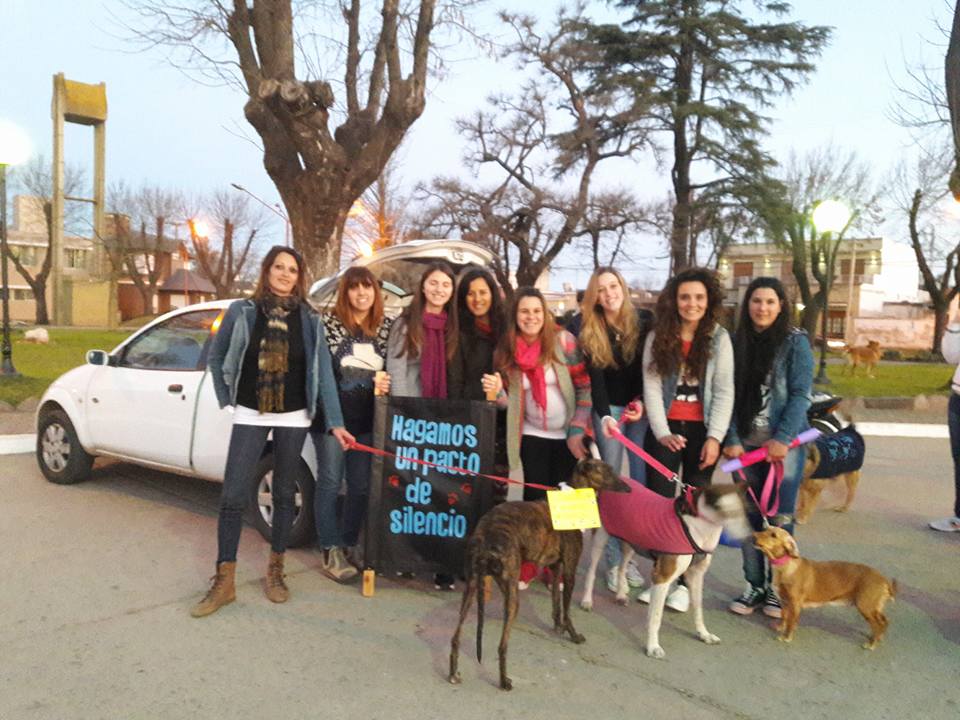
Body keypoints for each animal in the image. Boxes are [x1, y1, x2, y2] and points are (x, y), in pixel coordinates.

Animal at [447, 458, 629, 691]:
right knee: (501, 646)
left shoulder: (556, 567)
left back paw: (453, 673)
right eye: (608, 471)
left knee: (455, 637)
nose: (629, 488)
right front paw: (573, 635)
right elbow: (567, 610)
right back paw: (504, 681)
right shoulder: (569, 570)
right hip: (511, 598)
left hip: (471, 588)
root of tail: (486, 540)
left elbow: (556, 604)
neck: (573, 495)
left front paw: (558, 627)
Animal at [579, 479, 751, 659]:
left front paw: (704, 634)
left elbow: (698, 609)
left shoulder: (697, 576)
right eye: (728, 513)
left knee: (622, 567)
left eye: (743, 511)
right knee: (591, 571)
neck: (697, 527)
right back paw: (587, 600)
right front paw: (653, 646)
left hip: (631, 542)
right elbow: (655, 617)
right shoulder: (662, 577)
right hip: (601, 538)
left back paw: (620, 595)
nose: (749, 537)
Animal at [753, 526, 896, 649]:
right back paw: (878, 638)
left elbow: (791, 622)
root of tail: (884, 580)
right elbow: (784, 616)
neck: (785, 566)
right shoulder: (784, 602)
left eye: (773, 535)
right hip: (874, 608)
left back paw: (871, 644)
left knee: (879, 624)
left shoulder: (795, 604)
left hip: (866, 606)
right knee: (884, 621)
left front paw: (786, 637)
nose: (753, 535)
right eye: (765, 528)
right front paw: (780, 627)